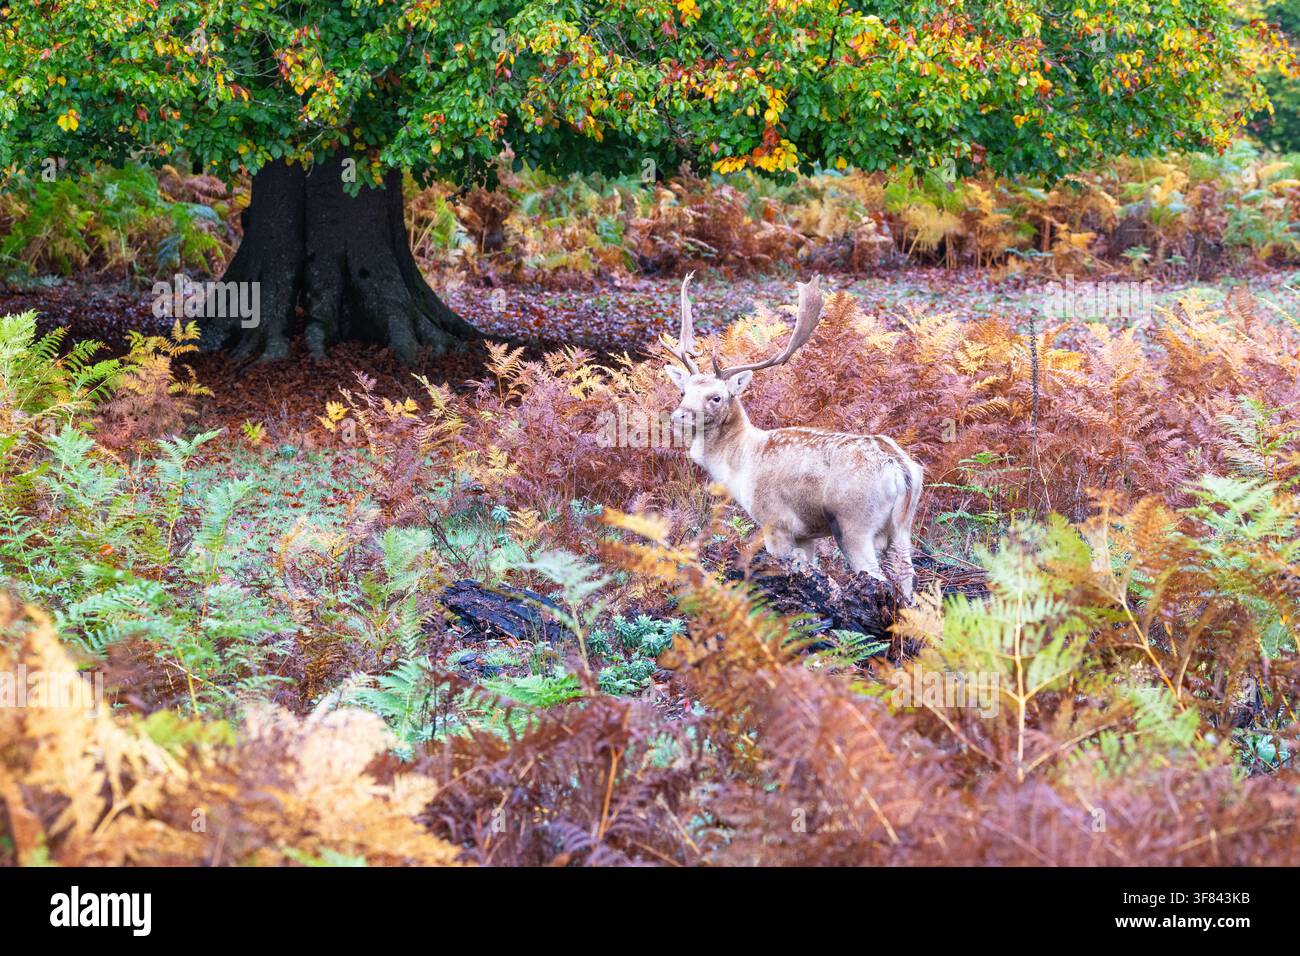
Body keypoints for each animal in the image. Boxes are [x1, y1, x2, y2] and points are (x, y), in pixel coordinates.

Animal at [661, 274, 923, 598]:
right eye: (683, 392)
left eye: (716, 397)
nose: (679, 415)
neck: (740, 465)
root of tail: (900, 469)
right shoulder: (806, 534)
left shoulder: (775, 522)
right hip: (903, 528)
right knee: (908, 579)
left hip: (855, 523)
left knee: (877, 576)